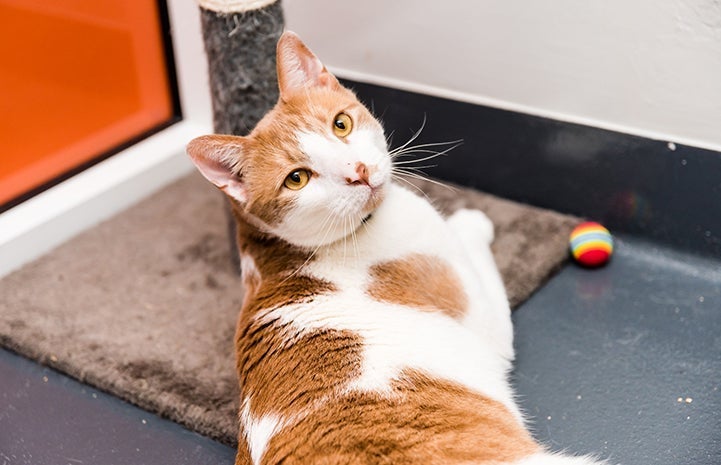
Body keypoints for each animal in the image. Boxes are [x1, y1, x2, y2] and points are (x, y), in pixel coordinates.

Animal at [186, 31, 600, 464]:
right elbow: (475, 253)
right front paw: (470, 220)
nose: (358, 172)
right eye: (297, 179)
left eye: (341, 124)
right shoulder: (485, 321)